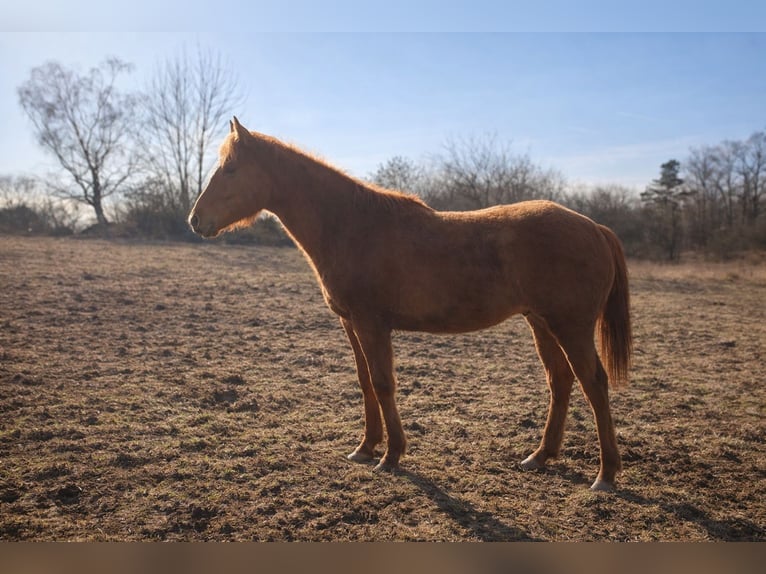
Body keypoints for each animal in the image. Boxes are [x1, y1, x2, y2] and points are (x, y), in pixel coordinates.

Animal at [189, 117, 632, 491]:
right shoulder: (351, 324)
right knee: (560, 381)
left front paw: (391, 456)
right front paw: (365, 448)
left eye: (230, 169)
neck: (352, 226)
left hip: (570, 327)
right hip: (540, 322)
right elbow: (365, 381)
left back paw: (606, 475)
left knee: (593, 383)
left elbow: (384, 383)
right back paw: (540, 456)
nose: (195, 220)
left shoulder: (372, 324)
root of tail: (594, 226)